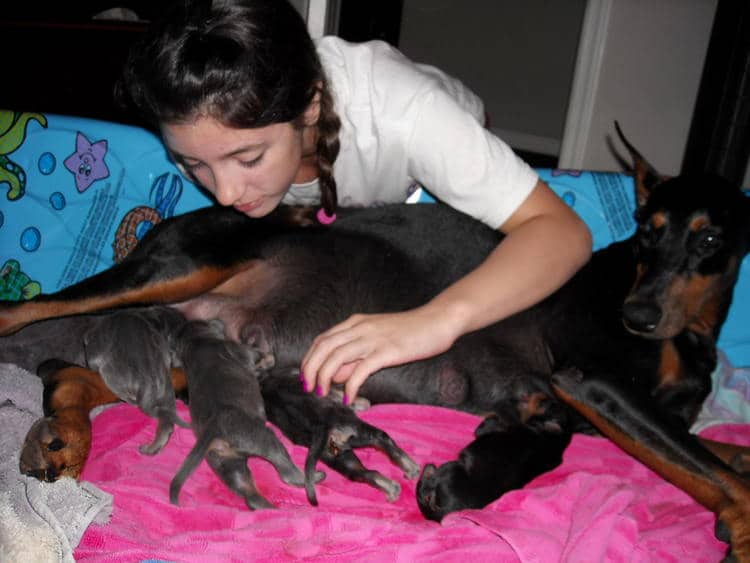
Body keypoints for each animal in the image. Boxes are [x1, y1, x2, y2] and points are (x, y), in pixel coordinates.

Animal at [170, 322, 312, 512]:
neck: (198, 341)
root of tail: (213, 429)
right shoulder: (243, 350)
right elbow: (266, 357)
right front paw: (266, 359)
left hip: (225, 462)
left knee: (249, 493)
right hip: (263, 440)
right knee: (286, 468)